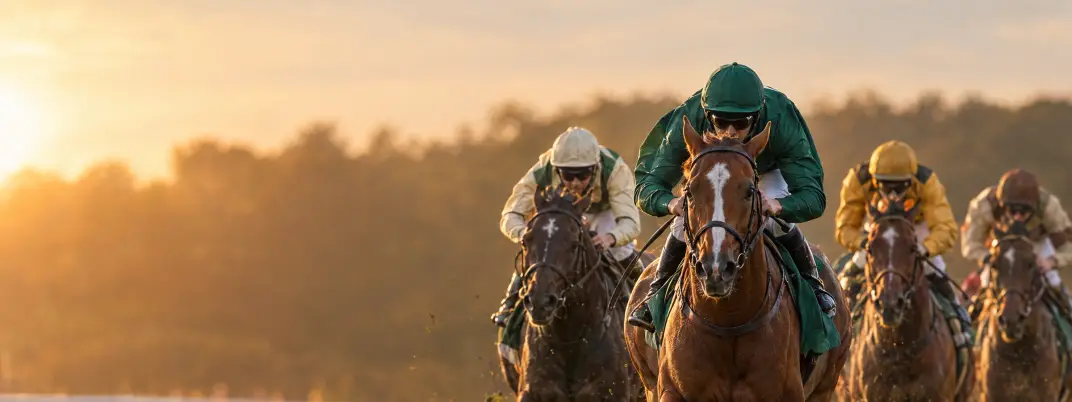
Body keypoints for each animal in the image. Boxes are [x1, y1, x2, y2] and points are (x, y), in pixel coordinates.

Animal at [623, 116, 852, 401]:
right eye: (689, 191)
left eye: (749, 191)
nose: (716, 269)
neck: (728, 320)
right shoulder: (671, 391)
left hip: (827, 383)